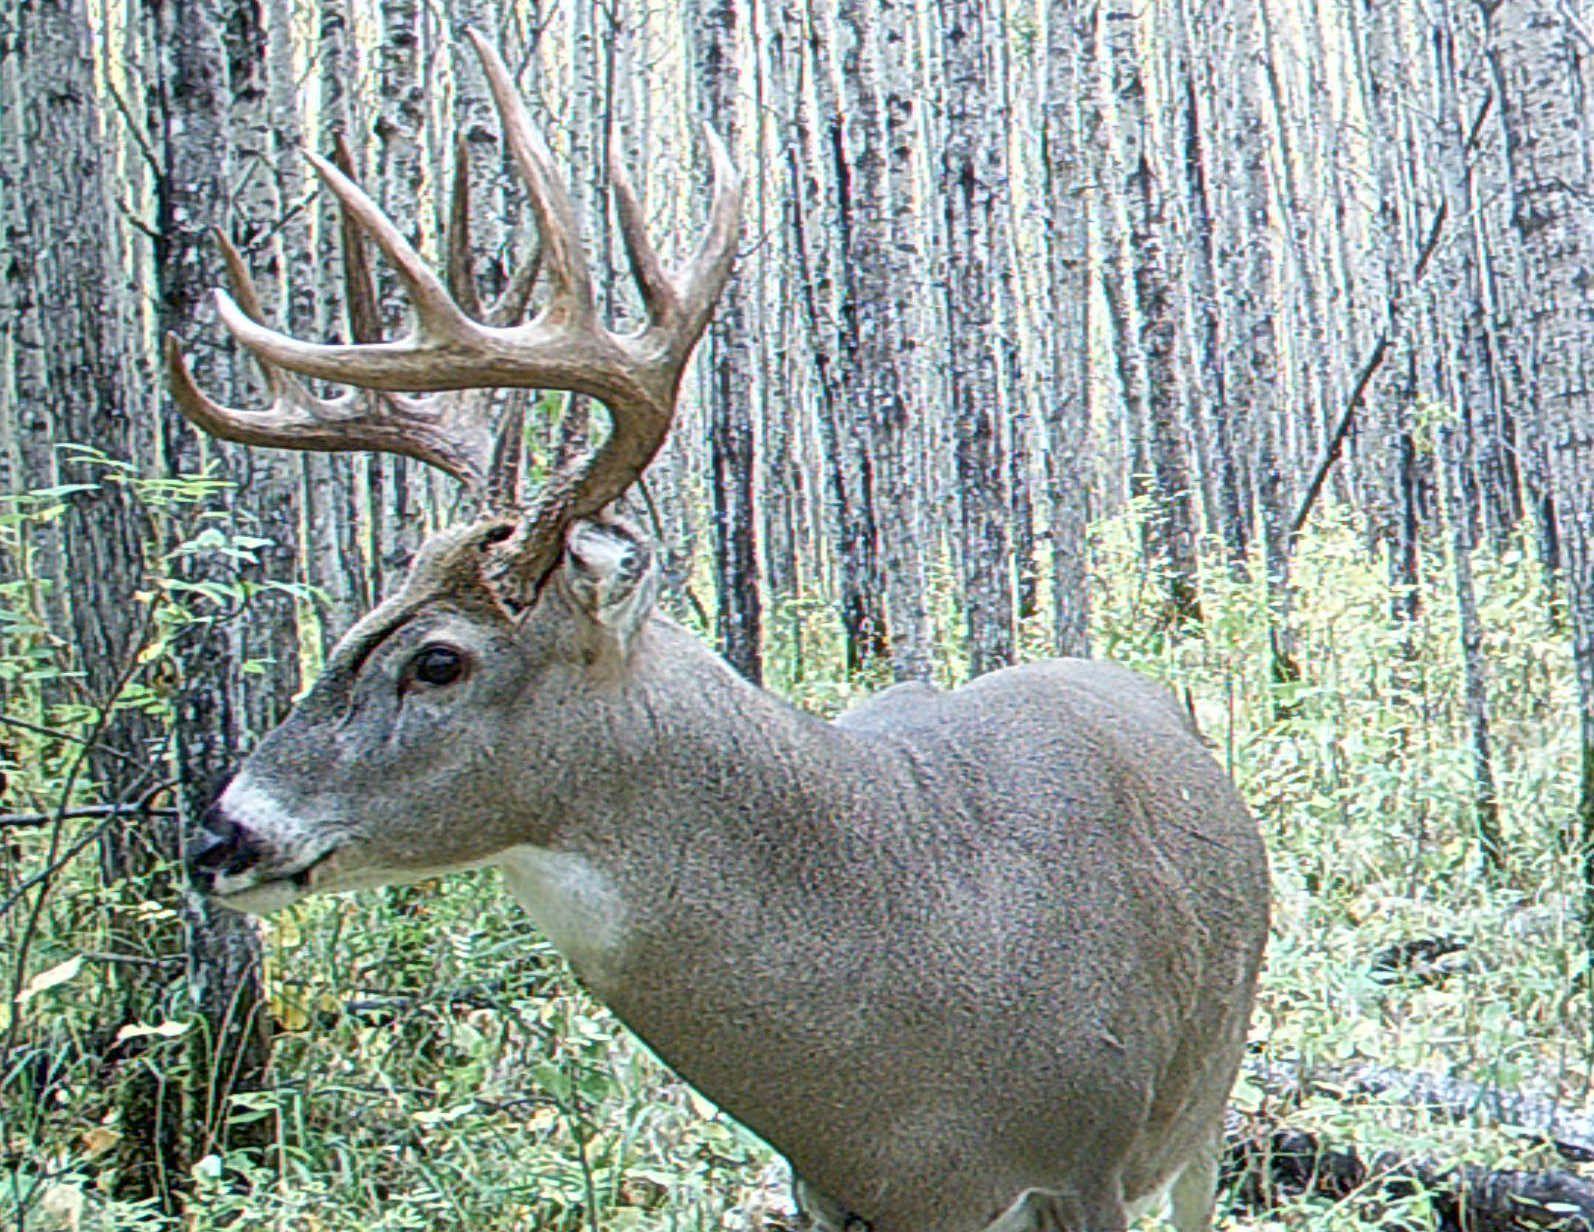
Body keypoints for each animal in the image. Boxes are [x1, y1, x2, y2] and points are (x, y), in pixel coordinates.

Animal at [168, 32, 1269, 1232]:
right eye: (367, 611)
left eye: (439, 660)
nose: (219, 836)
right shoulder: (823, 1187)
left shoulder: (1088, 1155)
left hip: (1205, 1094)